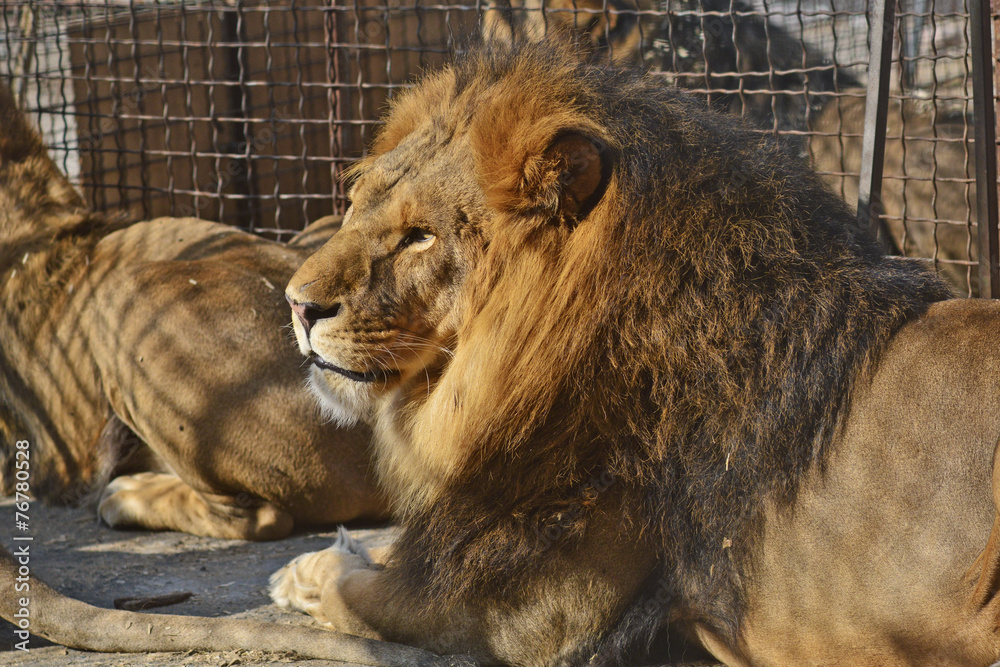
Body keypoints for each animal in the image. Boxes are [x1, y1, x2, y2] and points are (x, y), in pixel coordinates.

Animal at [267, 41, 1000, 666]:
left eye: (420, 235)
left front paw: (314, 571)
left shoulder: (537, 607)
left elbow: (355, 592)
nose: (297, 304)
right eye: (358, 203)